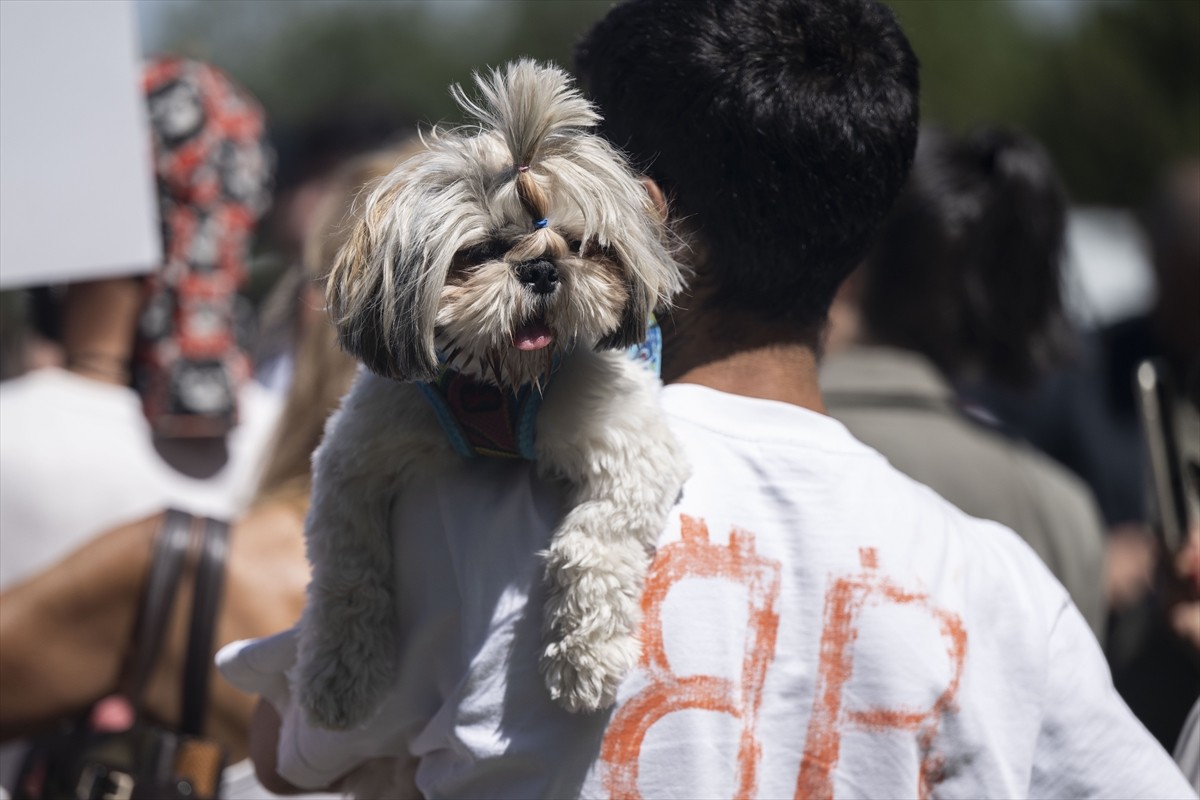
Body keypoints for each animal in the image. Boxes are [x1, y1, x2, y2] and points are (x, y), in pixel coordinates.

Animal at [298, 59, 691, 729]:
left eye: (580, 245)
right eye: (480, 252)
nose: (541, 270)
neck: (499, 382)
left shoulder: (631, 446)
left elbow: (590, 541)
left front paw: (582, 660)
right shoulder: (353, 460)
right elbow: (349, 567)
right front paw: (341, 672)